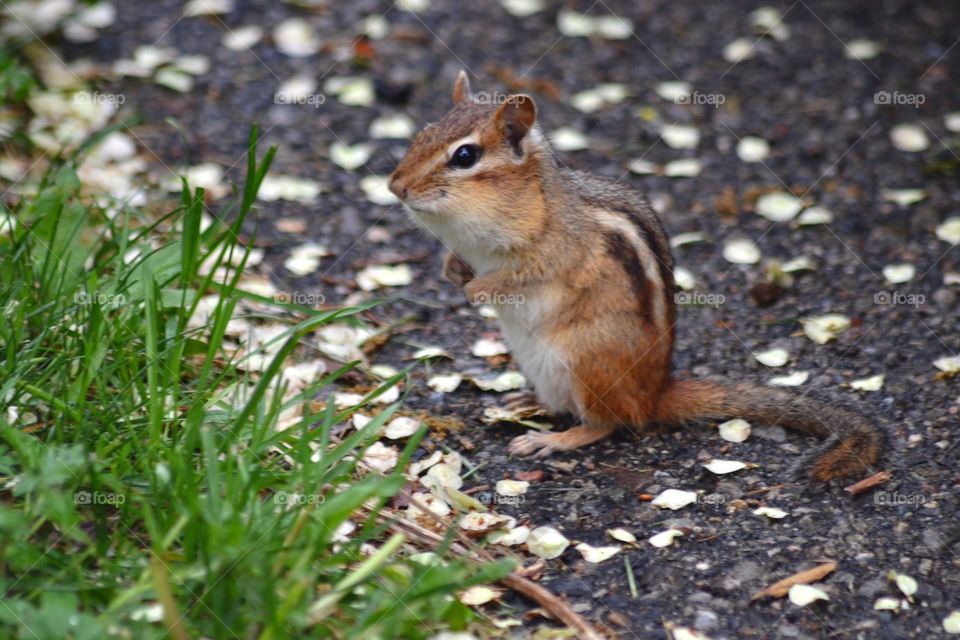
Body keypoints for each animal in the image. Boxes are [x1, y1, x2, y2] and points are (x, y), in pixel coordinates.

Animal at [388, 71, 885, 482]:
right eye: (423, 133)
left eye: (465, 155)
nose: (395, 187)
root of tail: (656, 393)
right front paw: (453, 270)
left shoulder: (558, 249)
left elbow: (523, 275)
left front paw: (479, 289)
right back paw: (528, 403)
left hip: (587, 360)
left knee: (608, 423)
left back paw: (553, 438)